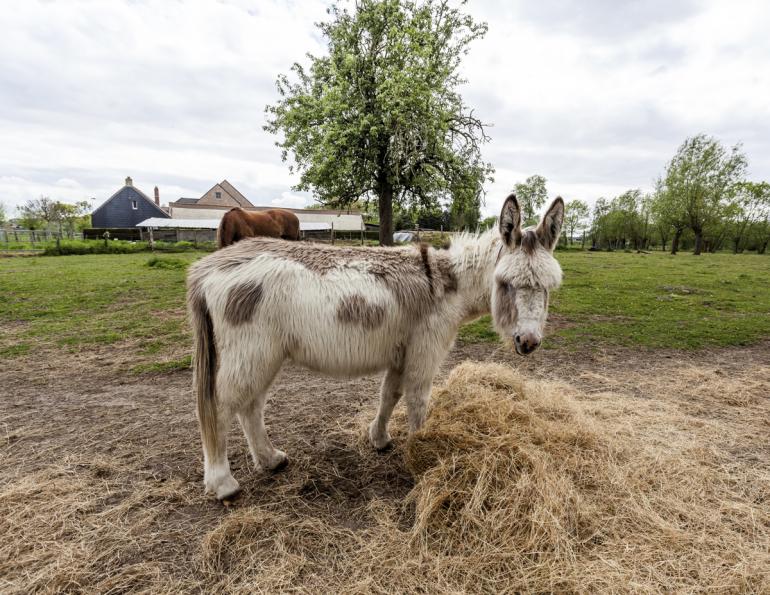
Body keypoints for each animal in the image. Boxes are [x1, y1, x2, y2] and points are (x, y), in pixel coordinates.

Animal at [187, 194, 564, 499]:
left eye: (548, 287)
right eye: (507, 283)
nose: (528, 342)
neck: (448, 283)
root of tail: (208, 268)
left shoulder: (402, 350)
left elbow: (390, 395)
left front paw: (379, 439)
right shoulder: (425, 350)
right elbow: (417, 401)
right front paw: (422, 454)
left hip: (262, 355)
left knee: (250, 407)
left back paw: (270, 459)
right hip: (252, 353)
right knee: (220, 408)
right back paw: (222, 483)